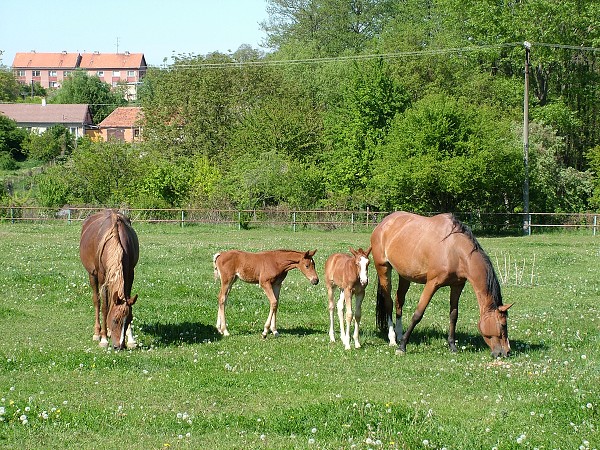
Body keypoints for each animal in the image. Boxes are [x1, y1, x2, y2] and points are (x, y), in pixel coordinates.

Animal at [79, 209, 139, 350]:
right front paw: (104, 339)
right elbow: (105, 308)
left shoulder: (129, 274)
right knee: (97, 301)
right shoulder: (102, 278)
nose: (119, 346)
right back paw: (98, 333)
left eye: (129, 320)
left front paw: (131, 339)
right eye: (115, 320)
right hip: (92, 275)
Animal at [370, 212, 510, 358]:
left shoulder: (457, 285)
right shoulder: (432, 284)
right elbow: (418, 314)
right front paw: (402, 347)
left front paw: (452, 346)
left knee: (399, 301)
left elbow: (454, 315)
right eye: (503, 325)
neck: (454, 249)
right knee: (389, 302)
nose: (506, 352)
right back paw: (392, 339)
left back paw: (399, 333)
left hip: (404, 275)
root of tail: (383, 223)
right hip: (383, 269)